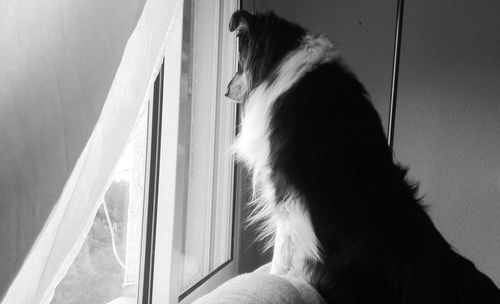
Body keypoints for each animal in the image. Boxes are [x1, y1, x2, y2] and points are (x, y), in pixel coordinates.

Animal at [227, 9, 500, 304]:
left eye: (239, 60)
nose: (227, 91)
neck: (283, 60)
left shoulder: (287, 194)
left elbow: (282, 250)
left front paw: (276, 277)